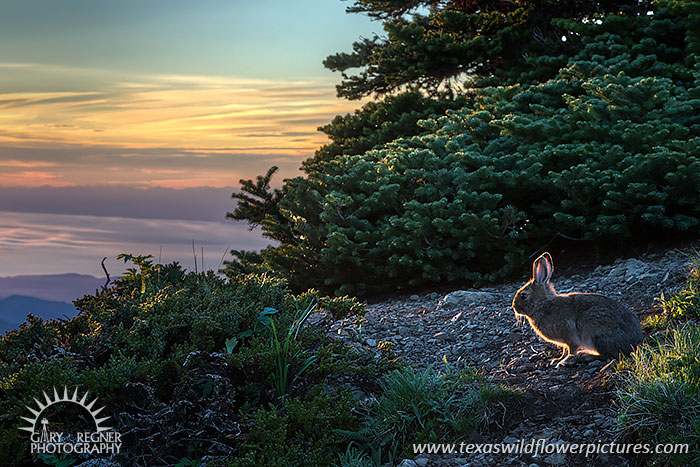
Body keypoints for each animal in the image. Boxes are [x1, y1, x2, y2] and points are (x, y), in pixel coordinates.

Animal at [512, 252, 644, 366]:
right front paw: (557, 359)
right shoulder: (564, 342)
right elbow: (564, 349)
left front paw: (564, 361)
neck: (542, 304)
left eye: (523, 296)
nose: (514, 307)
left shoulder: (570, 335)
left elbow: (571, 349)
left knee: (609, 355)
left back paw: (585, 356)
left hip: (595, 333)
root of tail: (635, 341)